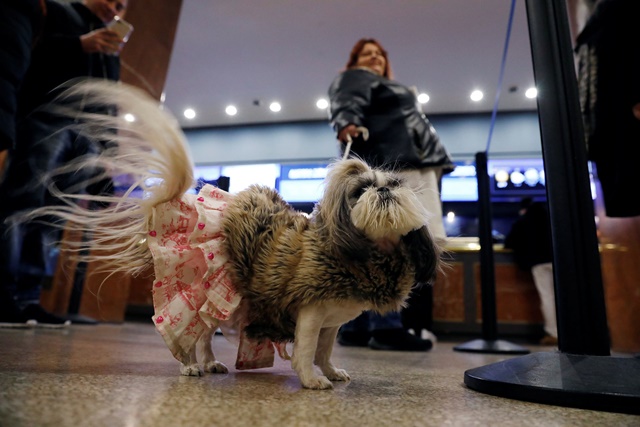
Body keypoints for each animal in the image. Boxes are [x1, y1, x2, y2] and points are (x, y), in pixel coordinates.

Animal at [31, 81, 440, 392]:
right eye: (359, 191)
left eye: (396, 184)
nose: (382, 190)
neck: (360, 254)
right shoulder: (310, 313)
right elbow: (306, 351)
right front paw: (311, 380)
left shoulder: (332, 322)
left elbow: (324, 351)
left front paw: (330, 371)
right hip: (206, 291)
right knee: (191, 334)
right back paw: (188, 366)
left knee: (204, 336)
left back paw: (210, 363)